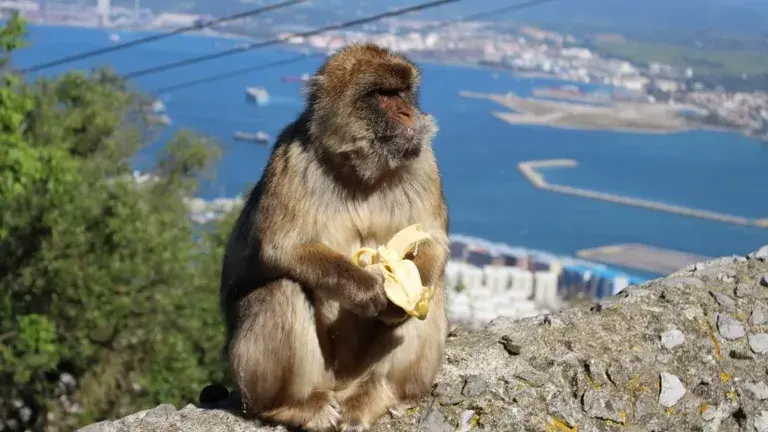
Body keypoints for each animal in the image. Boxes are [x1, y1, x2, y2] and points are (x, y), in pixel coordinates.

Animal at [219, 42, 449, 432]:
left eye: (403, 92)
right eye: (383, 94)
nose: (409, 113)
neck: (361, 170)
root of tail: (342, 385)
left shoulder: (424, 160)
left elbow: (433, 239)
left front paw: (401, 295)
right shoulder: (291, 158)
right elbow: (282, 246)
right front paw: (366, 288)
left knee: (429, 294)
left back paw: (376, 393)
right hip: (304, 378)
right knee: (280, 291)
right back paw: (289, 407)